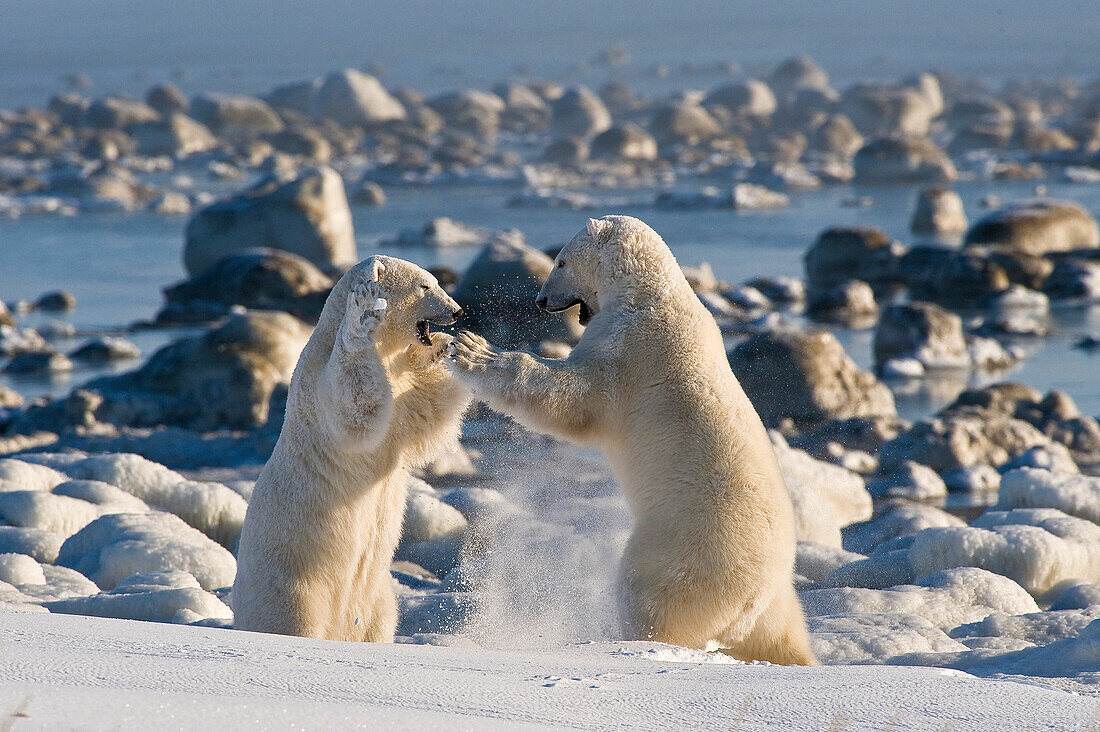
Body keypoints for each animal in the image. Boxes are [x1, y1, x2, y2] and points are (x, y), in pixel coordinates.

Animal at [232, 255, 468, 638]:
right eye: (425, 286)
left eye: (435, 281)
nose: (458, 311)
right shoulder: (316, 384)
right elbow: (352, 403)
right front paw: (363, 314)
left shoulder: (401, 397)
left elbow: (426, 413)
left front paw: (448, 347)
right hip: (294, 581)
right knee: (293, 620)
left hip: (378, 596)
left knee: (380, 617)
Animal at [446, 215, 818, 660]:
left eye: (560, 262)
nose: (540, 301)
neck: (650, 293)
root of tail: (754, 596)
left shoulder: (629, 347)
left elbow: (572, 396)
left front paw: (472, 350)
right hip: (775, 601)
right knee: (780, 636)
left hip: (685, 551)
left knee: (649, 597)